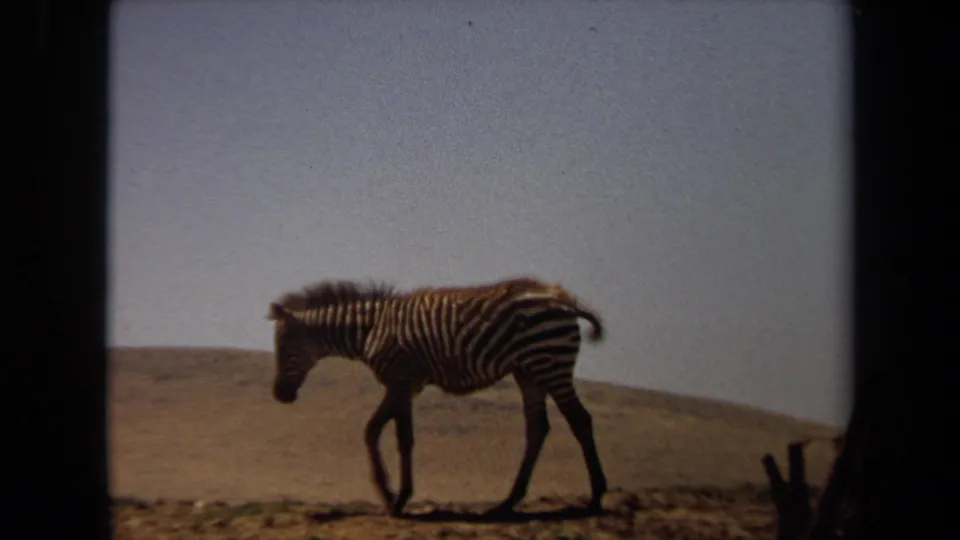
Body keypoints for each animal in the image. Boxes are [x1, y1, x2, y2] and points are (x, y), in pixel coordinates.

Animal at [266, 276, 609, 517]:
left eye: (284, 347)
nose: (279, 395)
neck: (371, 330)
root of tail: (564, 299)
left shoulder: (400, 382)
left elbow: (384, 434)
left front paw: (394, 497)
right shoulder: (405, 386)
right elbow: (390, 435)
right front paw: (394, 496)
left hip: (549, 363)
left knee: (580, 420)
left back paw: (596, 497)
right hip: (529, 372)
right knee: (538, 428)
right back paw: (508, 502)